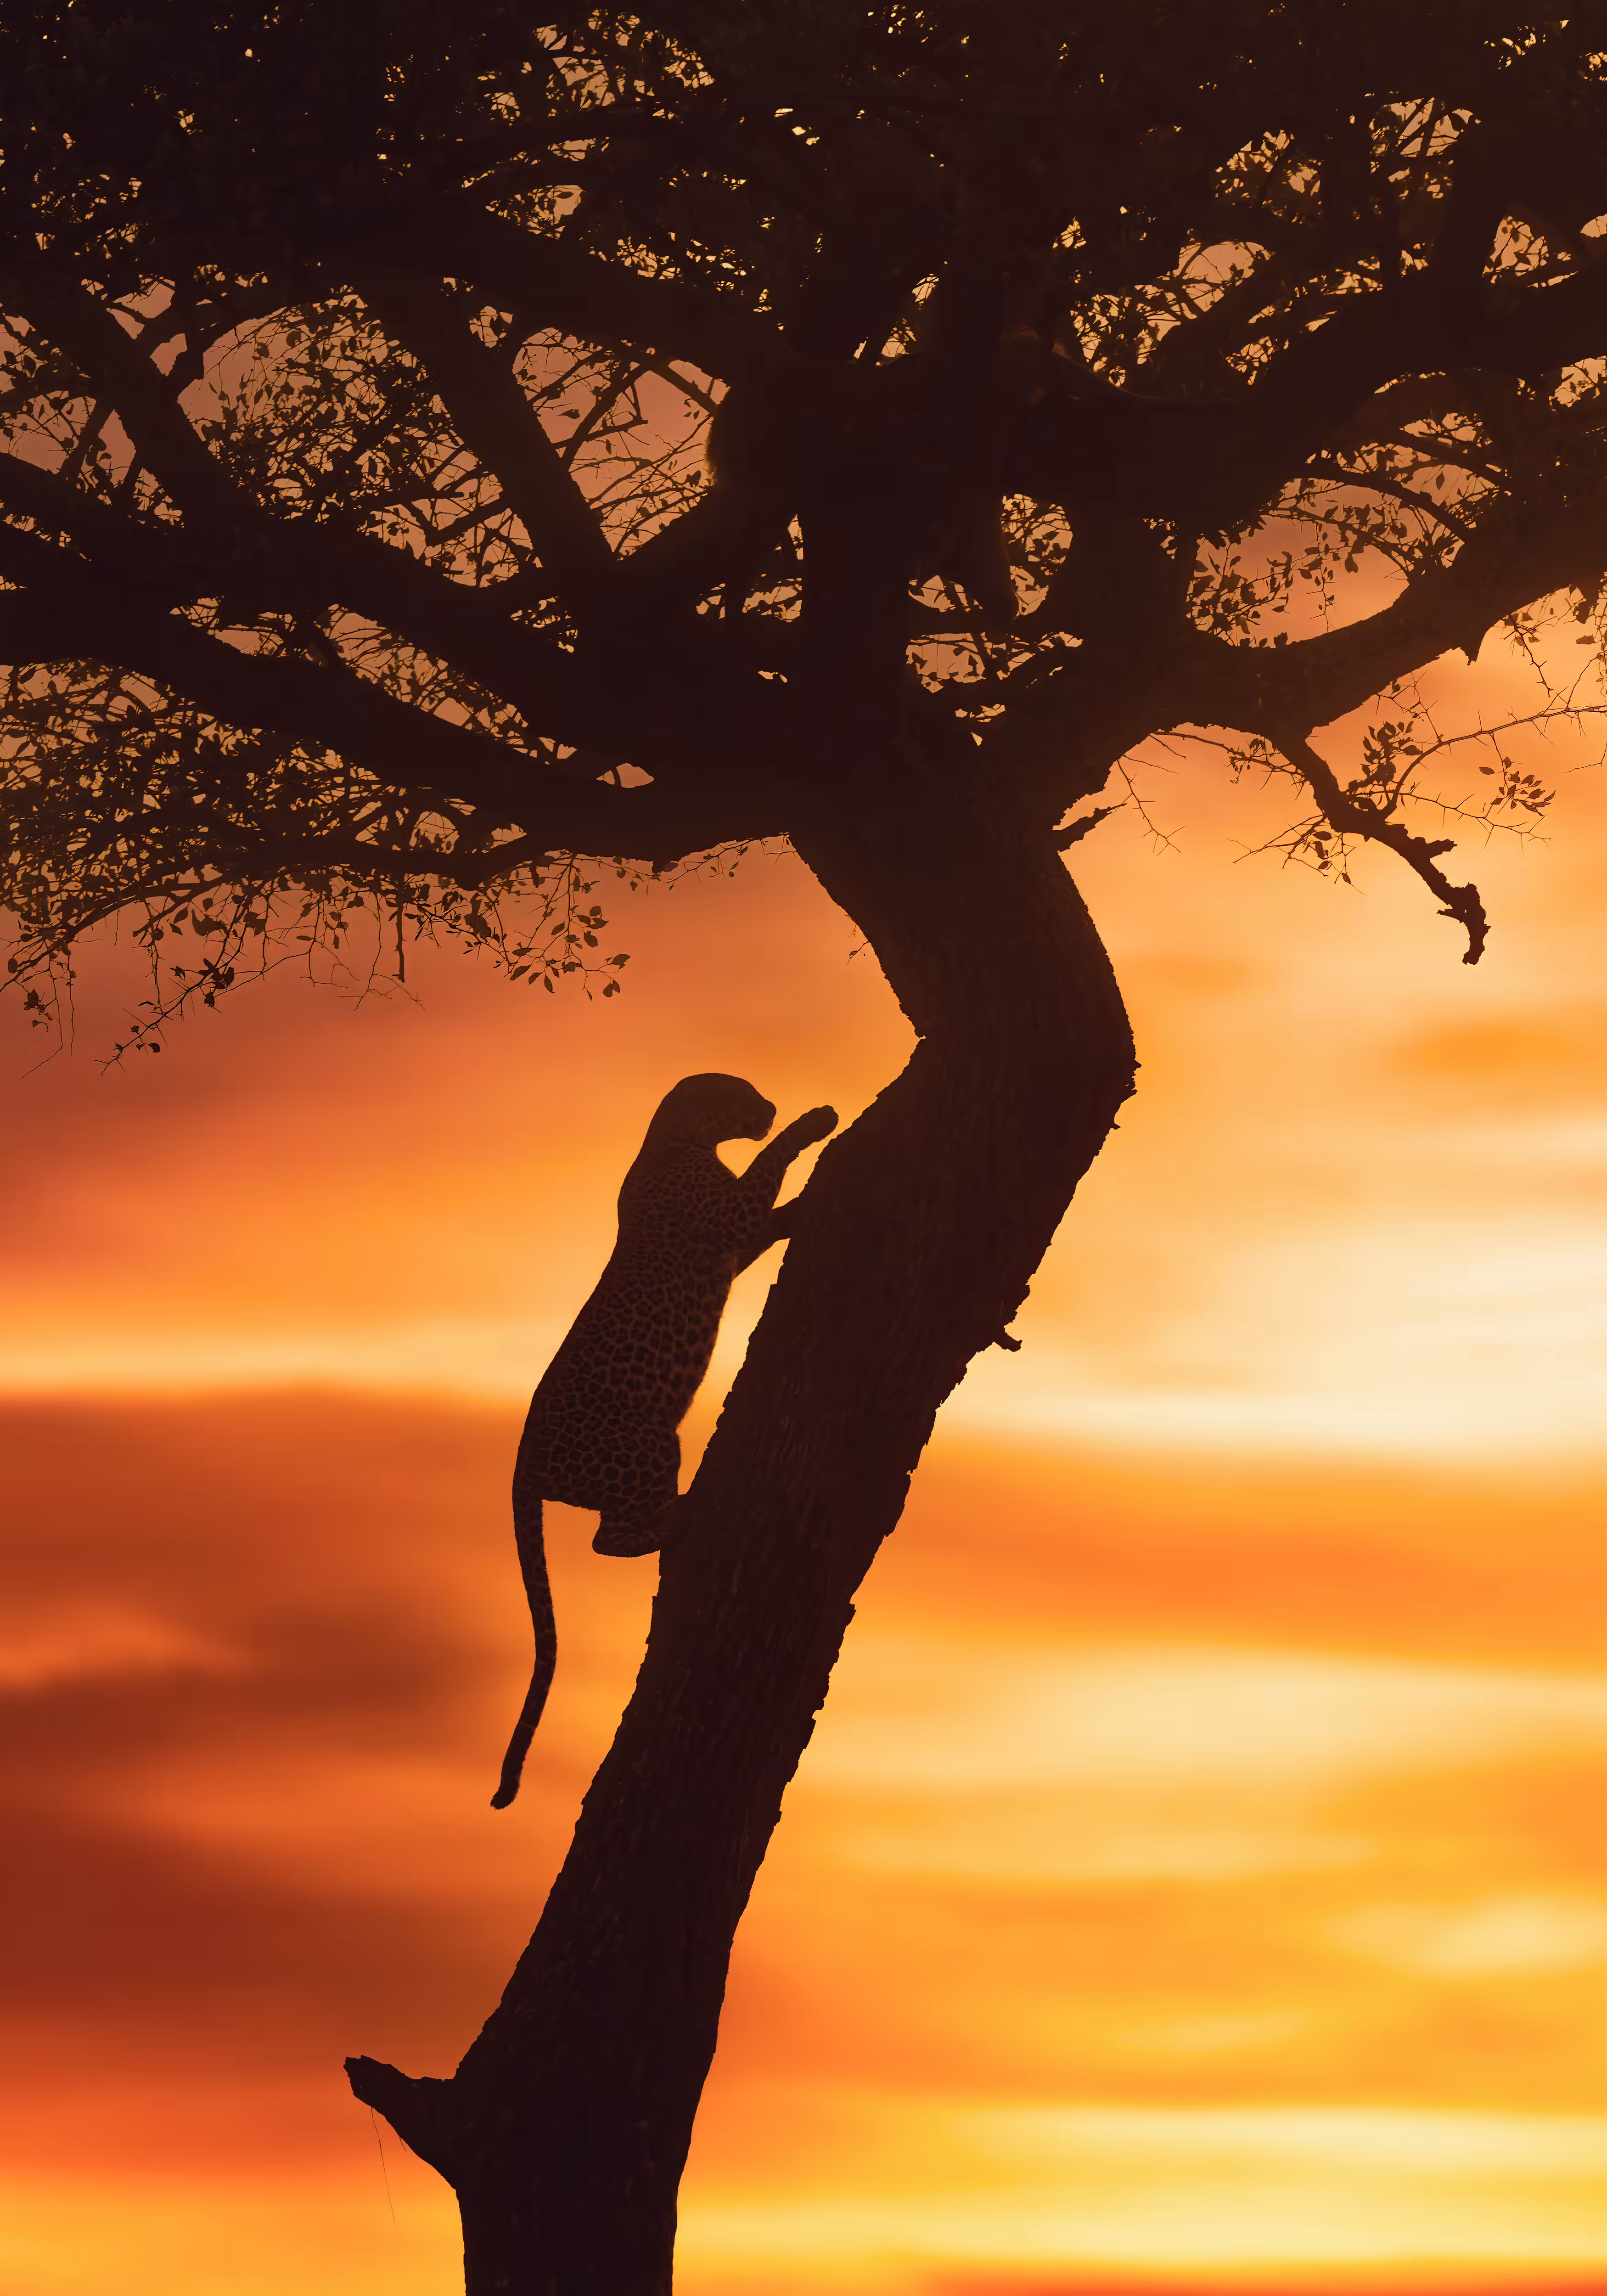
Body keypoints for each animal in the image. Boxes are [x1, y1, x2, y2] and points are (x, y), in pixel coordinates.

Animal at [491, 1073, 838, 1809]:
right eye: (741, 1091)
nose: (767, 1107)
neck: (676, 1138)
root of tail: (522, 1462)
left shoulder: (733, 1236)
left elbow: (765, 1215)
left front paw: (800, 1202)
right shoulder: (726, 1216)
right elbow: (766, 1169)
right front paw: (813, 1123)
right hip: (649, 1442)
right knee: (609, 1537)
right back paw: (681, 1515)